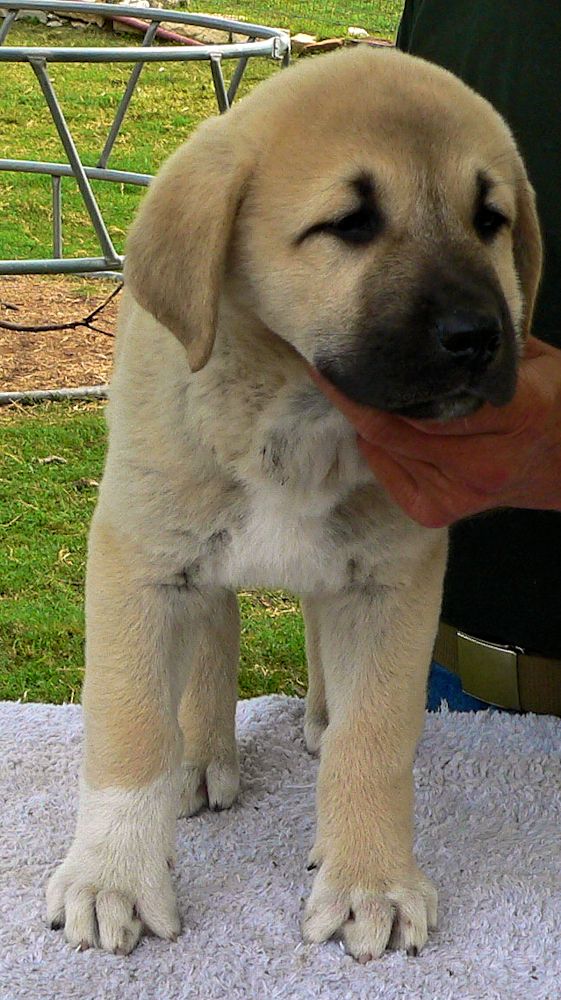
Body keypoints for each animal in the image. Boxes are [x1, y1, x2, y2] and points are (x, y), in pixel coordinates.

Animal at [47, 45, 540, 960]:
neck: (295, 408)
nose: (479, 337)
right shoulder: (140, 559)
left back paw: (314, 712)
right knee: (209, 640)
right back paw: (200, 756)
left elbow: (372, 738)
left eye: (488, 218)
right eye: (348, 224)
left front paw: (368, 880)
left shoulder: (391, 580)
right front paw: (112, 878)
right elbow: (129, 726)